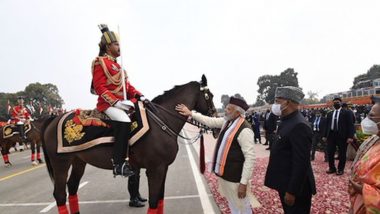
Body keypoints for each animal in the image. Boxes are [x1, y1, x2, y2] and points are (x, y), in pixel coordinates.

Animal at [41, 74, 217, 213]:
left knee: (72, 187)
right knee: (60, 195)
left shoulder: (163, 168)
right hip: (61, 163)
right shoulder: (155, 169)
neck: (161, 121)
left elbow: (160, 200)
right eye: (210, 96)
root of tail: (54, 119)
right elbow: (154, 201)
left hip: (78, 160)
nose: (216, 125)